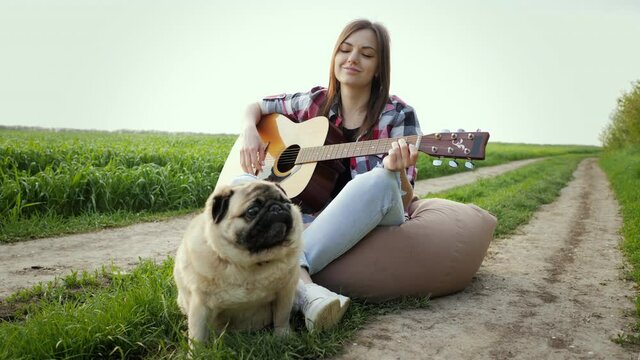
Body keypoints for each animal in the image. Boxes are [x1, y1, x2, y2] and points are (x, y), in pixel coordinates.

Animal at [174, 181, 304, 344]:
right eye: (252, 211)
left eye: (287, 204)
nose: (276, 207)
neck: (250, 263)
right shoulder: (200, 305)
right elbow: (198, 336)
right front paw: (197, 350)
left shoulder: (285, 293)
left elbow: (281, 317)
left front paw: (283, 337)